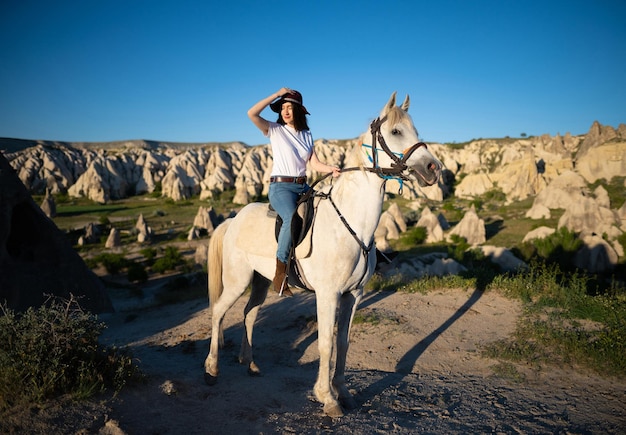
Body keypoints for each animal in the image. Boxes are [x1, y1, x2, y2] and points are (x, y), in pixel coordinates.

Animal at [204, 93, 438, 418]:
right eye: (395, 131)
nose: (433, 168)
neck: (350, 224)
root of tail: (233, 220)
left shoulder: (353, 295)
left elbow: (344, 341)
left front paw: (344, 392)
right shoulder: (327, 295)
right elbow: (326, 343)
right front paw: (327, 398)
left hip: (261, 280)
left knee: (249, 314)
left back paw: (250, 364)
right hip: (237, 280)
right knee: (218, 312)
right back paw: (212, 369)